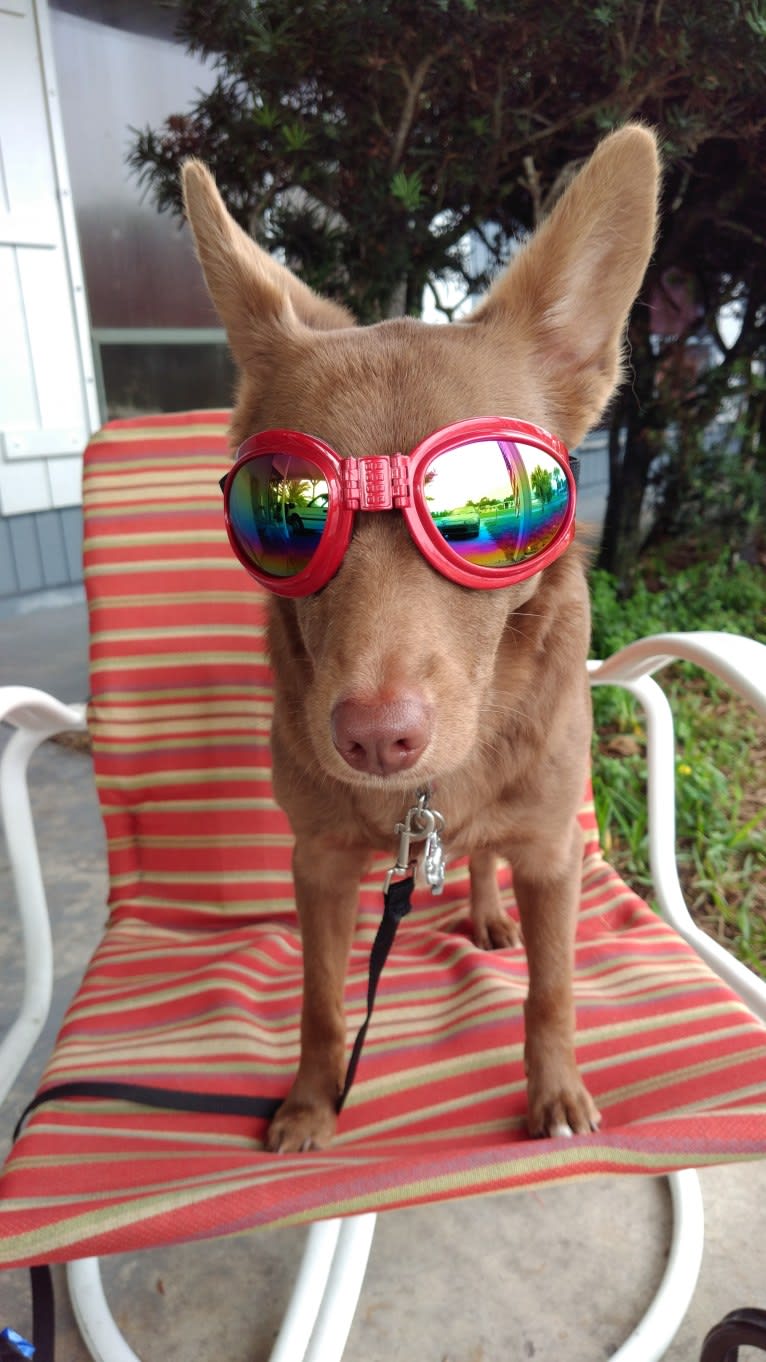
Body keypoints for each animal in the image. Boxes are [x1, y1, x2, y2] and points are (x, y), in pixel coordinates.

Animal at [181, 125, 659, 1149]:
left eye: (490, 506)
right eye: (285, 514)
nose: (375, 739)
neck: (426, 799)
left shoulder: (555, 853)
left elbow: (553, 993)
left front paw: (555, 1093)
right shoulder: (316, 862)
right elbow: (322, 1002)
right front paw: (311, 1102)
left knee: (485, 860)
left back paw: (486, 911)